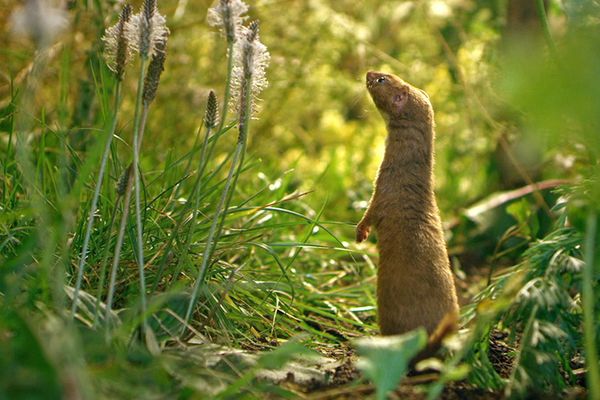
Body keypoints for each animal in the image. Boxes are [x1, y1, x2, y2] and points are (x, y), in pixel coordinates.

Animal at [356, 71, 460, 338]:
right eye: (393, 75)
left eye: (382, 79)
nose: (368, 72)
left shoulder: (383, 190)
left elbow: (370, 213)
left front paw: (361, 233)